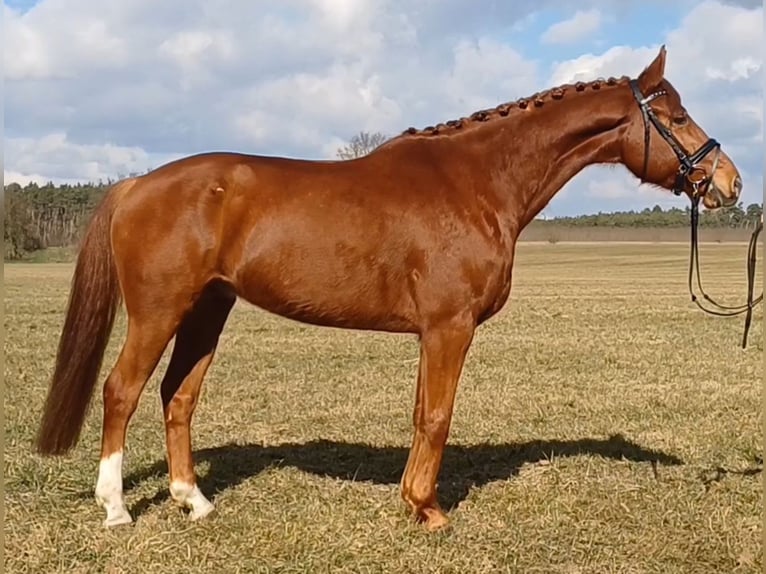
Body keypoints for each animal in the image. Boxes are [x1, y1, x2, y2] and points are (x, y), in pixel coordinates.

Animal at [35, 46, 743, 531]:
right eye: (677, 116)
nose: (729, 182)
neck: (479, 181)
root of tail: (135, 185)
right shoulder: (450, 327)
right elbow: (436, 416)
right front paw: (429, 511)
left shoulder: (433, 331)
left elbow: (421, 413)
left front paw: (412, 500)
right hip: (159, 311)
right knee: (122, 391)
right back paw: (116, 509)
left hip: (208, 309)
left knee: (178, 396)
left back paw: (195, 501)